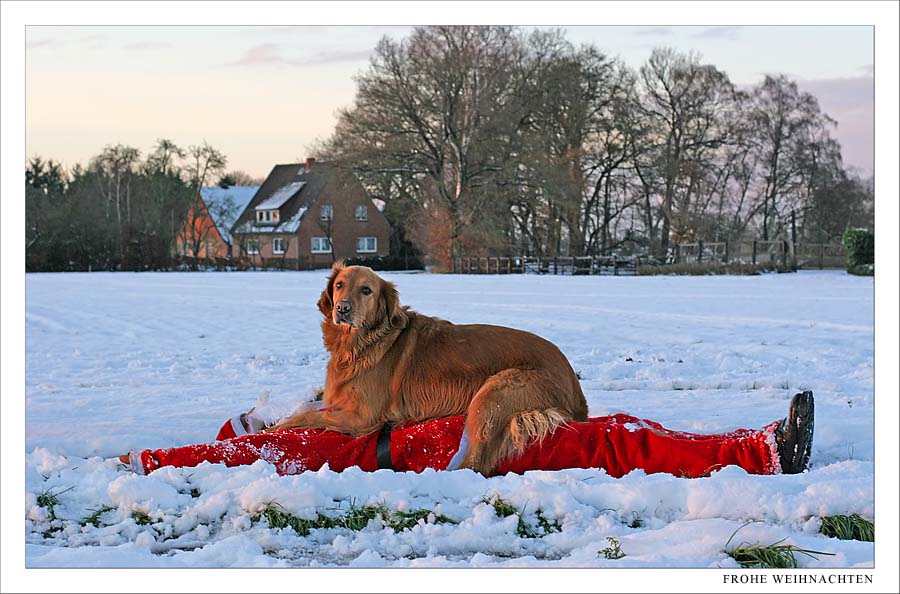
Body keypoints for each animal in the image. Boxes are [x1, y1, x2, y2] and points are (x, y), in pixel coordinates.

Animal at [268, 262, 592, 474]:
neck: (360, 344)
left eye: (366, 290)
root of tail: (574, 386)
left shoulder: (364, 417)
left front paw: (276, 427)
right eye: (339, 285)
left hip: (494, 394)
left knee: (476, 464)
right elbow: (310, 406)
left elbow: (306, 416)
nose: (342, 308)